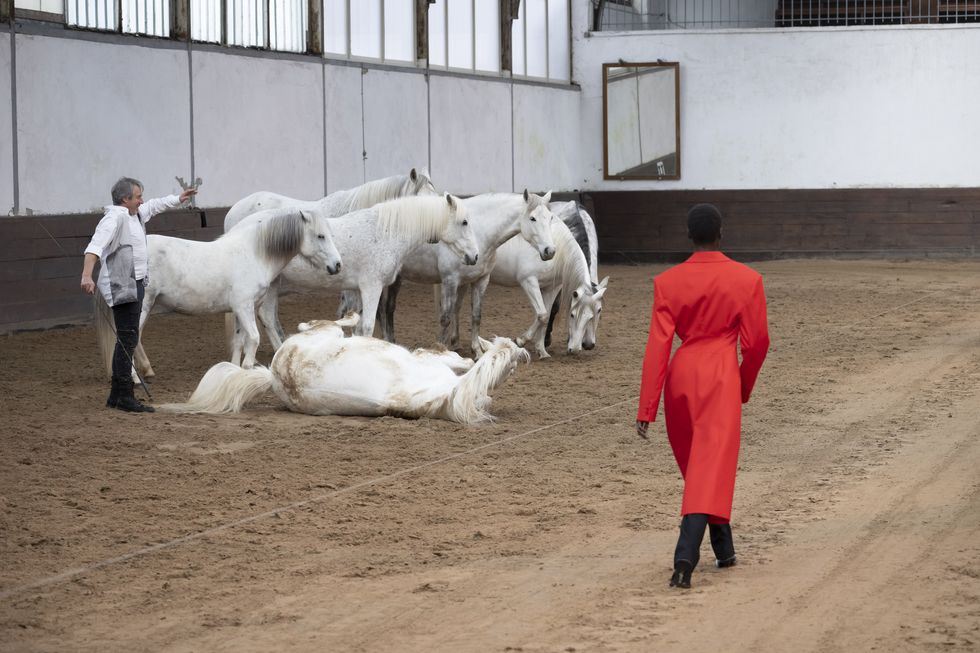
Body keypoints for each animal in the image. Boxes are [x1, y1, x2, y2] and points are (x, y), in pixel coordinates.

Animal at [94, 206, 340, 374]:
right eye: (320, 235)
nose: (337, 265)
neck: (254, 254)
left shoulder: (243, 310)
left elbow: (240, 341)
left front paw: (233, 370)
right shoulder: (243, 306)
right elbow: (254, 338)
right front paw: (248, 368)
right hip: (142, 307)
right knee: (128, 341)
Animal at [161, 314, 528, 426]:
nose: (520, 353)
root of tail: (274, 374)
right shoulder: (428, 363)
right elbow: (455, 358)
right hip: (322, 335)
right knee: (323, 323)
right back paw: (351, 316)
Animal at [251, 194, 480, 344]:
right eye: (464, 222)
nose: (475, 256)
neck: (385, 232)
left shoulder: (360, 290)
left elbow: (360, 328)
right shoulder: (372, 287)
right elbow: (369, 326)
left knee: (267, 318)